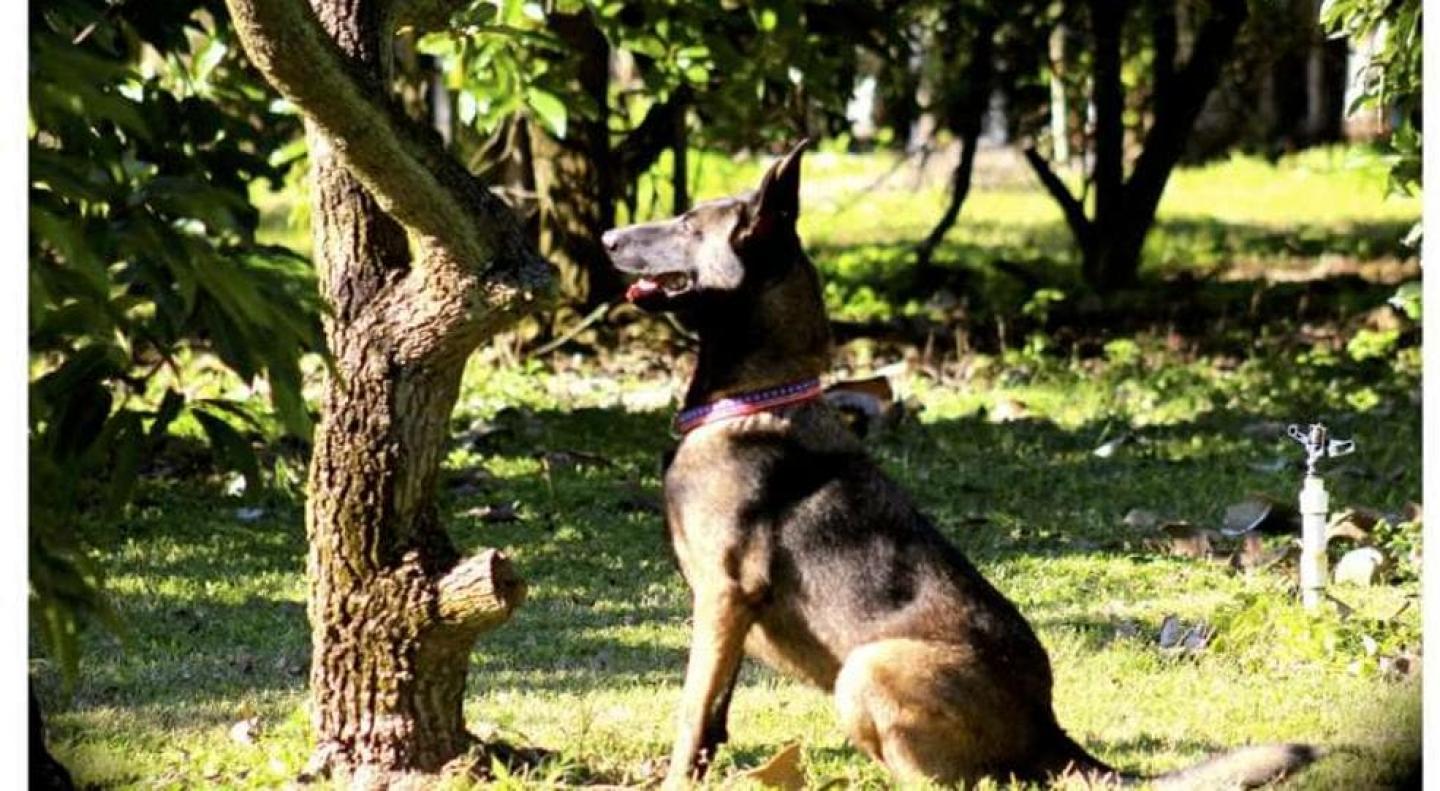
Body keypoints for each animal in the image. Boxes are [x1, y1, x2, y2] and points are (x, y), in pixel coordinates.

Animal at [596, 140, 1319, 783]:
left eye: (689, 225)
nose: (604, 236)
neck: (751, 398)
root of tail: (1048, 729)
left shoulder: (724, 597)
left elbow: (691, 713)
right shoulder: (726, 614)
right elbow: (713, 719)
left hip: (866, 668)